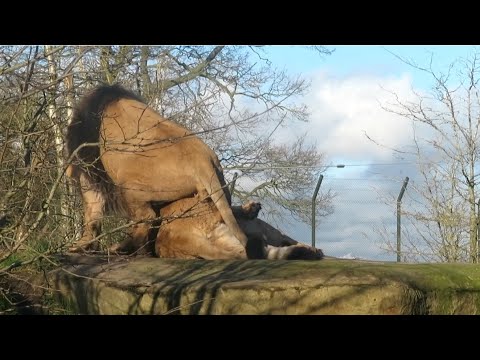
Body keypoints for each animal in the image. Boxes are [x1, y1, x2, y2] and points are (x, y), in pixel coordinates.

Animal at [65, 84, 248, 255]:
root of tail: (203, 159)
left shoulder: (91, 169)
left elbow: (92, 209)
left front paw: (81, 245)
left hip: (129, 185)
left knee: (147, 218)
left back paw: (132, 249)